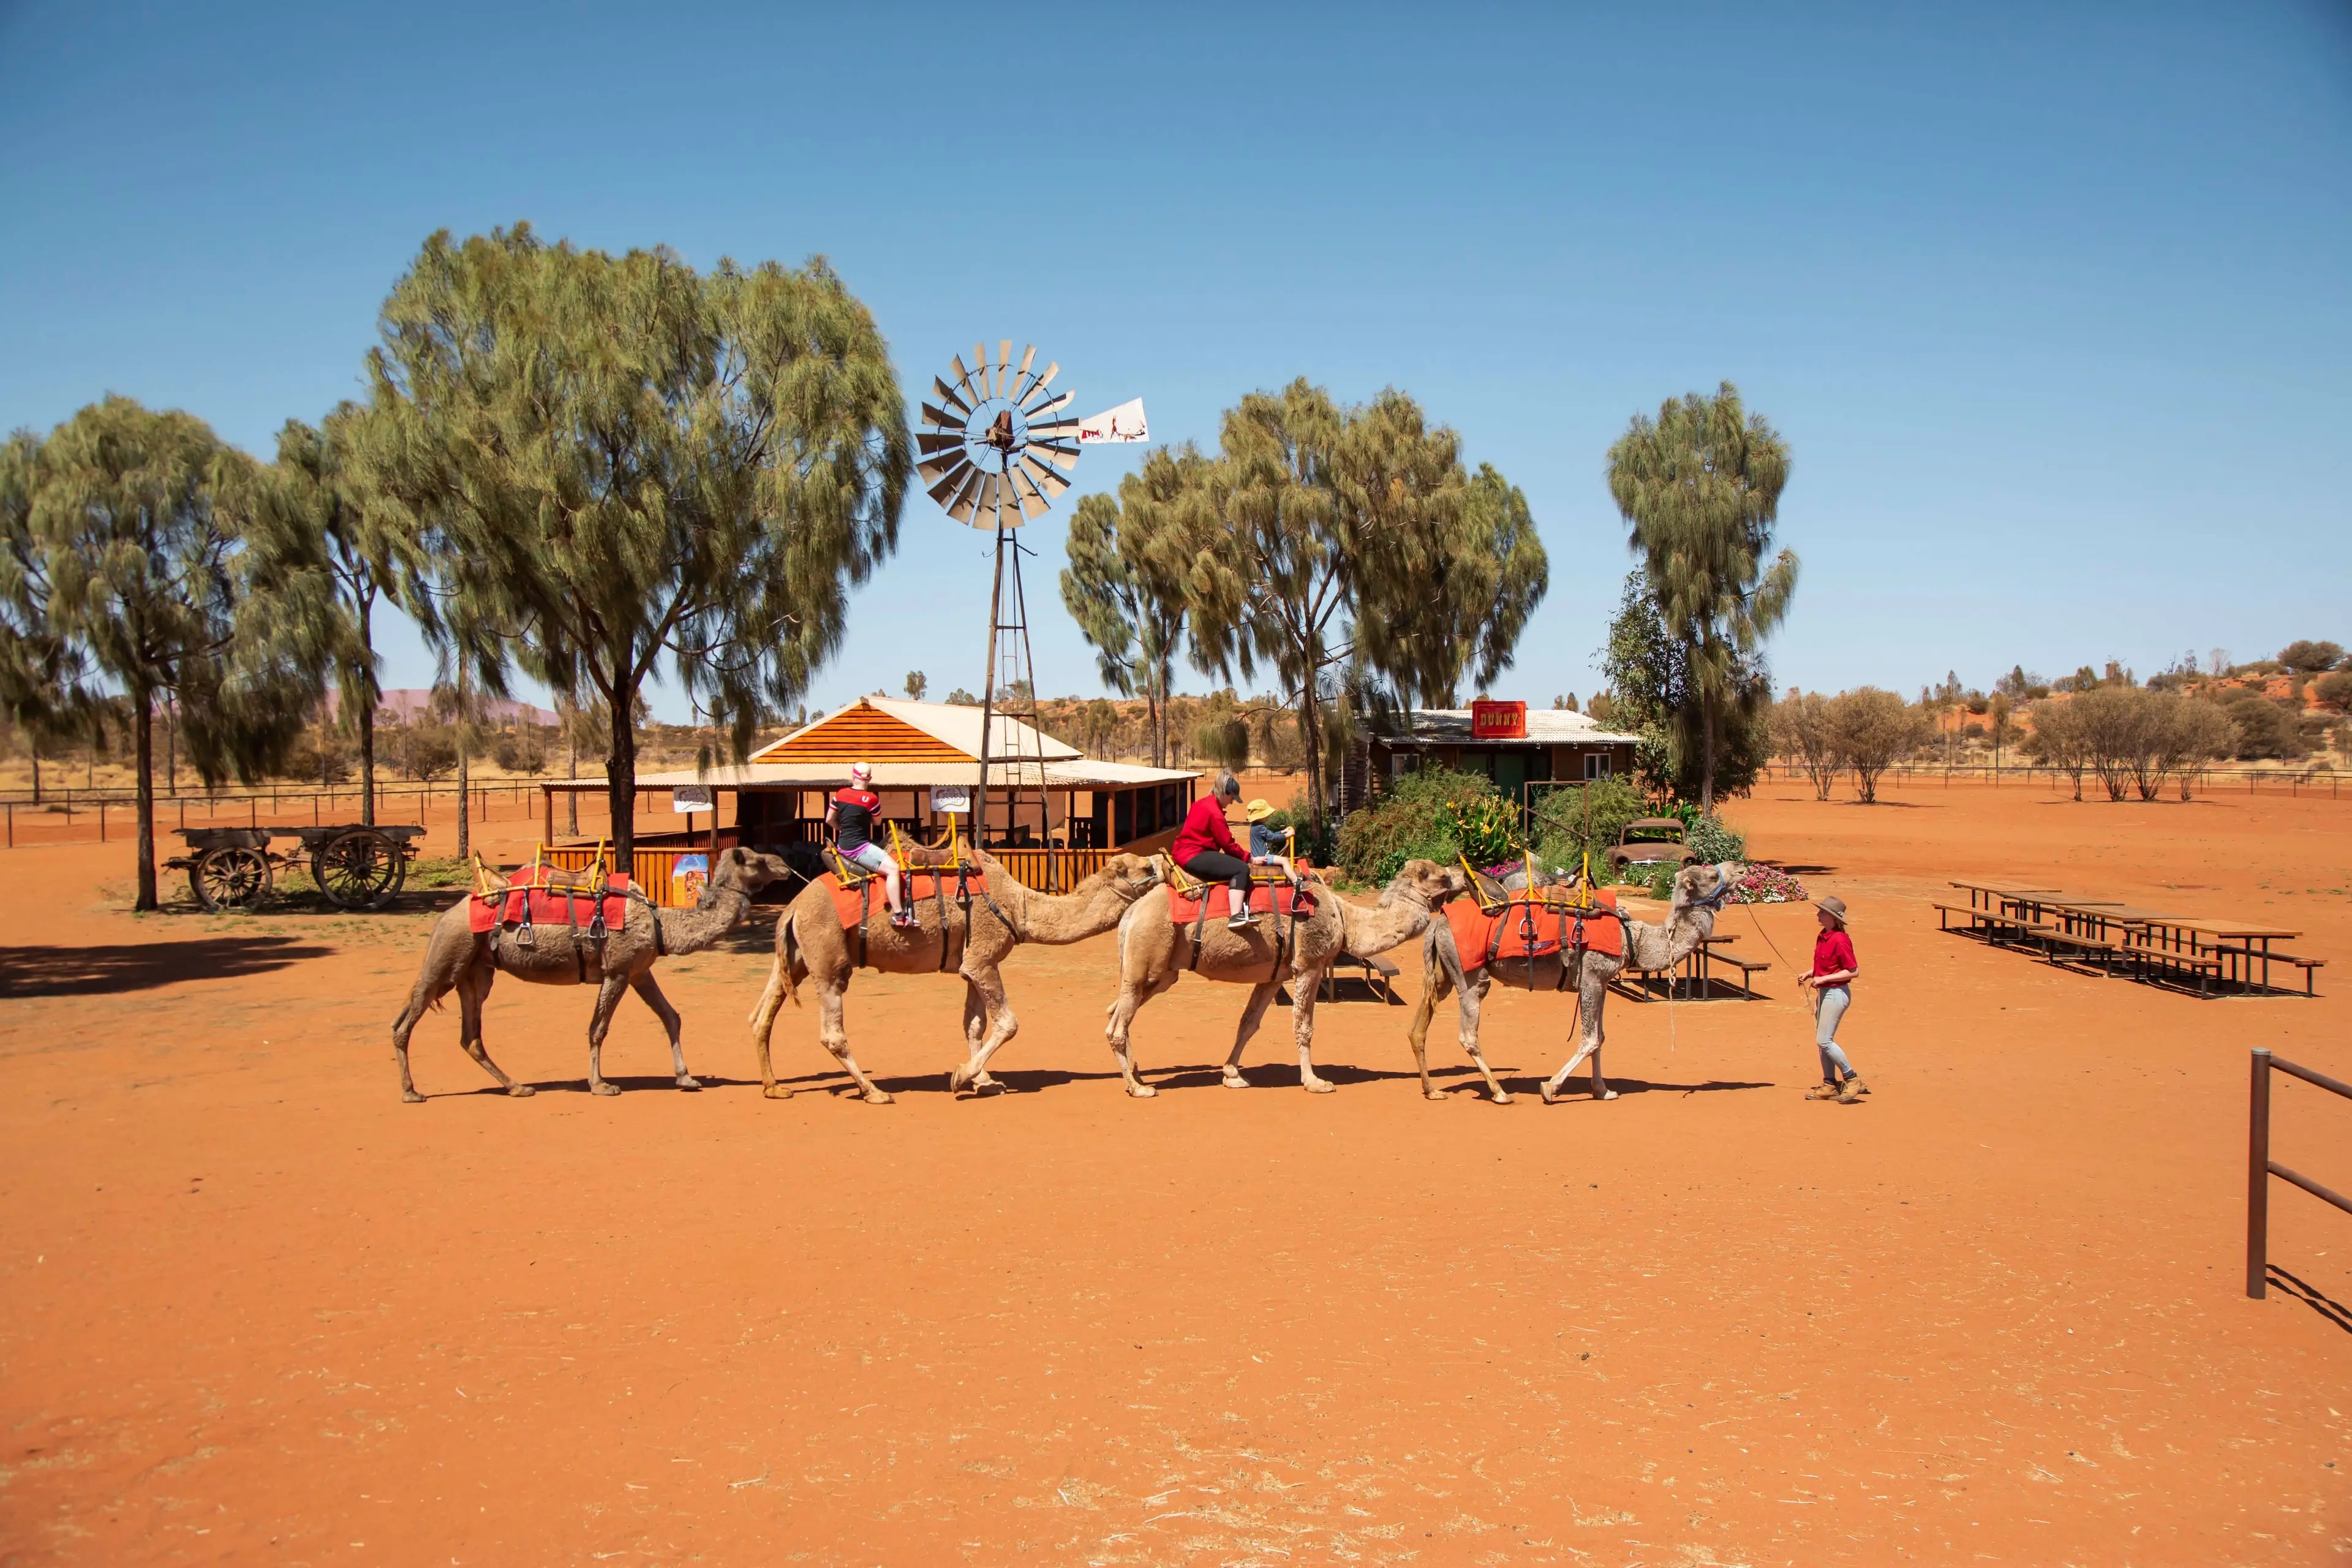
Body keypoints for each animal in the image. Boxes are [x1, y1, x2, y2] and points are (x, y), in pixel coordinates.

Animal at [390, 845, 803, 1102]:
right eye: (755, 861)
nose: (785, 864)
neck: (661, 925)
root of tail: (448, 913)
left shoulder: (639, 970)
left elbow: (671, 1016)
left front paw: (687, 1078)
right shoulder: (617, 970)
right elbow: (598, 1028)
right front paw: (601, 1085)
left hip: (477, 972)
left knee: (470, 1036)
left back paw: (517, 1087)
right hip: (449, 956)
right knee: (406, 1019)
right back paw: (411, 1092)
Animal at [747, 849, 1163, 1103]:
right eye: (1145, 868)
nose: (1164, 860)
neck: (1020, 908)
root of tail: (792, 907)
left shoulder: (972, 965)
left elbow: (975, 1025)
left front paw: (985, 1081)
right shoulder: (983, 959)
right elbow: (1008, 1023)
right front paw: (963, 1077)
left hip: (795, 960)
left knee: (762, 1015)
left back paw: (774, 1087)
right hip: (829, 961)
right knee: (831, 1031)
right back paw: (874, 1092)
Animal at [1103, 858, 1467, 1096]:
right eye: (1441, 876)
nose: (1463, 872)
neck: (1344, 918)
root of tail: (1131, 915)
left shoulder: (1274, 975)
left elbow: (1248, 1023)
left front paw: (1232, 1074)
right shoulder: (1309, 965)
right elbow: (1303, 1026)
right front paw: (1315, 1082)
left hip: (1160, 974)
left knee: (1116, 1014)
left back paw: (1136, 1074)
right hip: (1147, 959)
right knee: (1117, 1025)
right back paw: (1137, 1087)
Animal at [1405, 860, 1739, 1105]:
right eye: (1711, 874)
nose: (1740, 867)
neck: (1633, 939)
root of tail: (1438, 921)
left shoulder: (1602, 982)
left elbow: (1601, 1038)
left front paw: (1604, 1091)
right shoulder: (1592, 975)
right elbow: (1589, 1040)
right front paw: (1550, 1088)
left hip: (1442, 974)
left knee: (1418, 1028)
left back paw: (1433, 1090)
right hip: (1469, 975)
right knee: (1468, 1034)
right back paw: (1500, 1093)